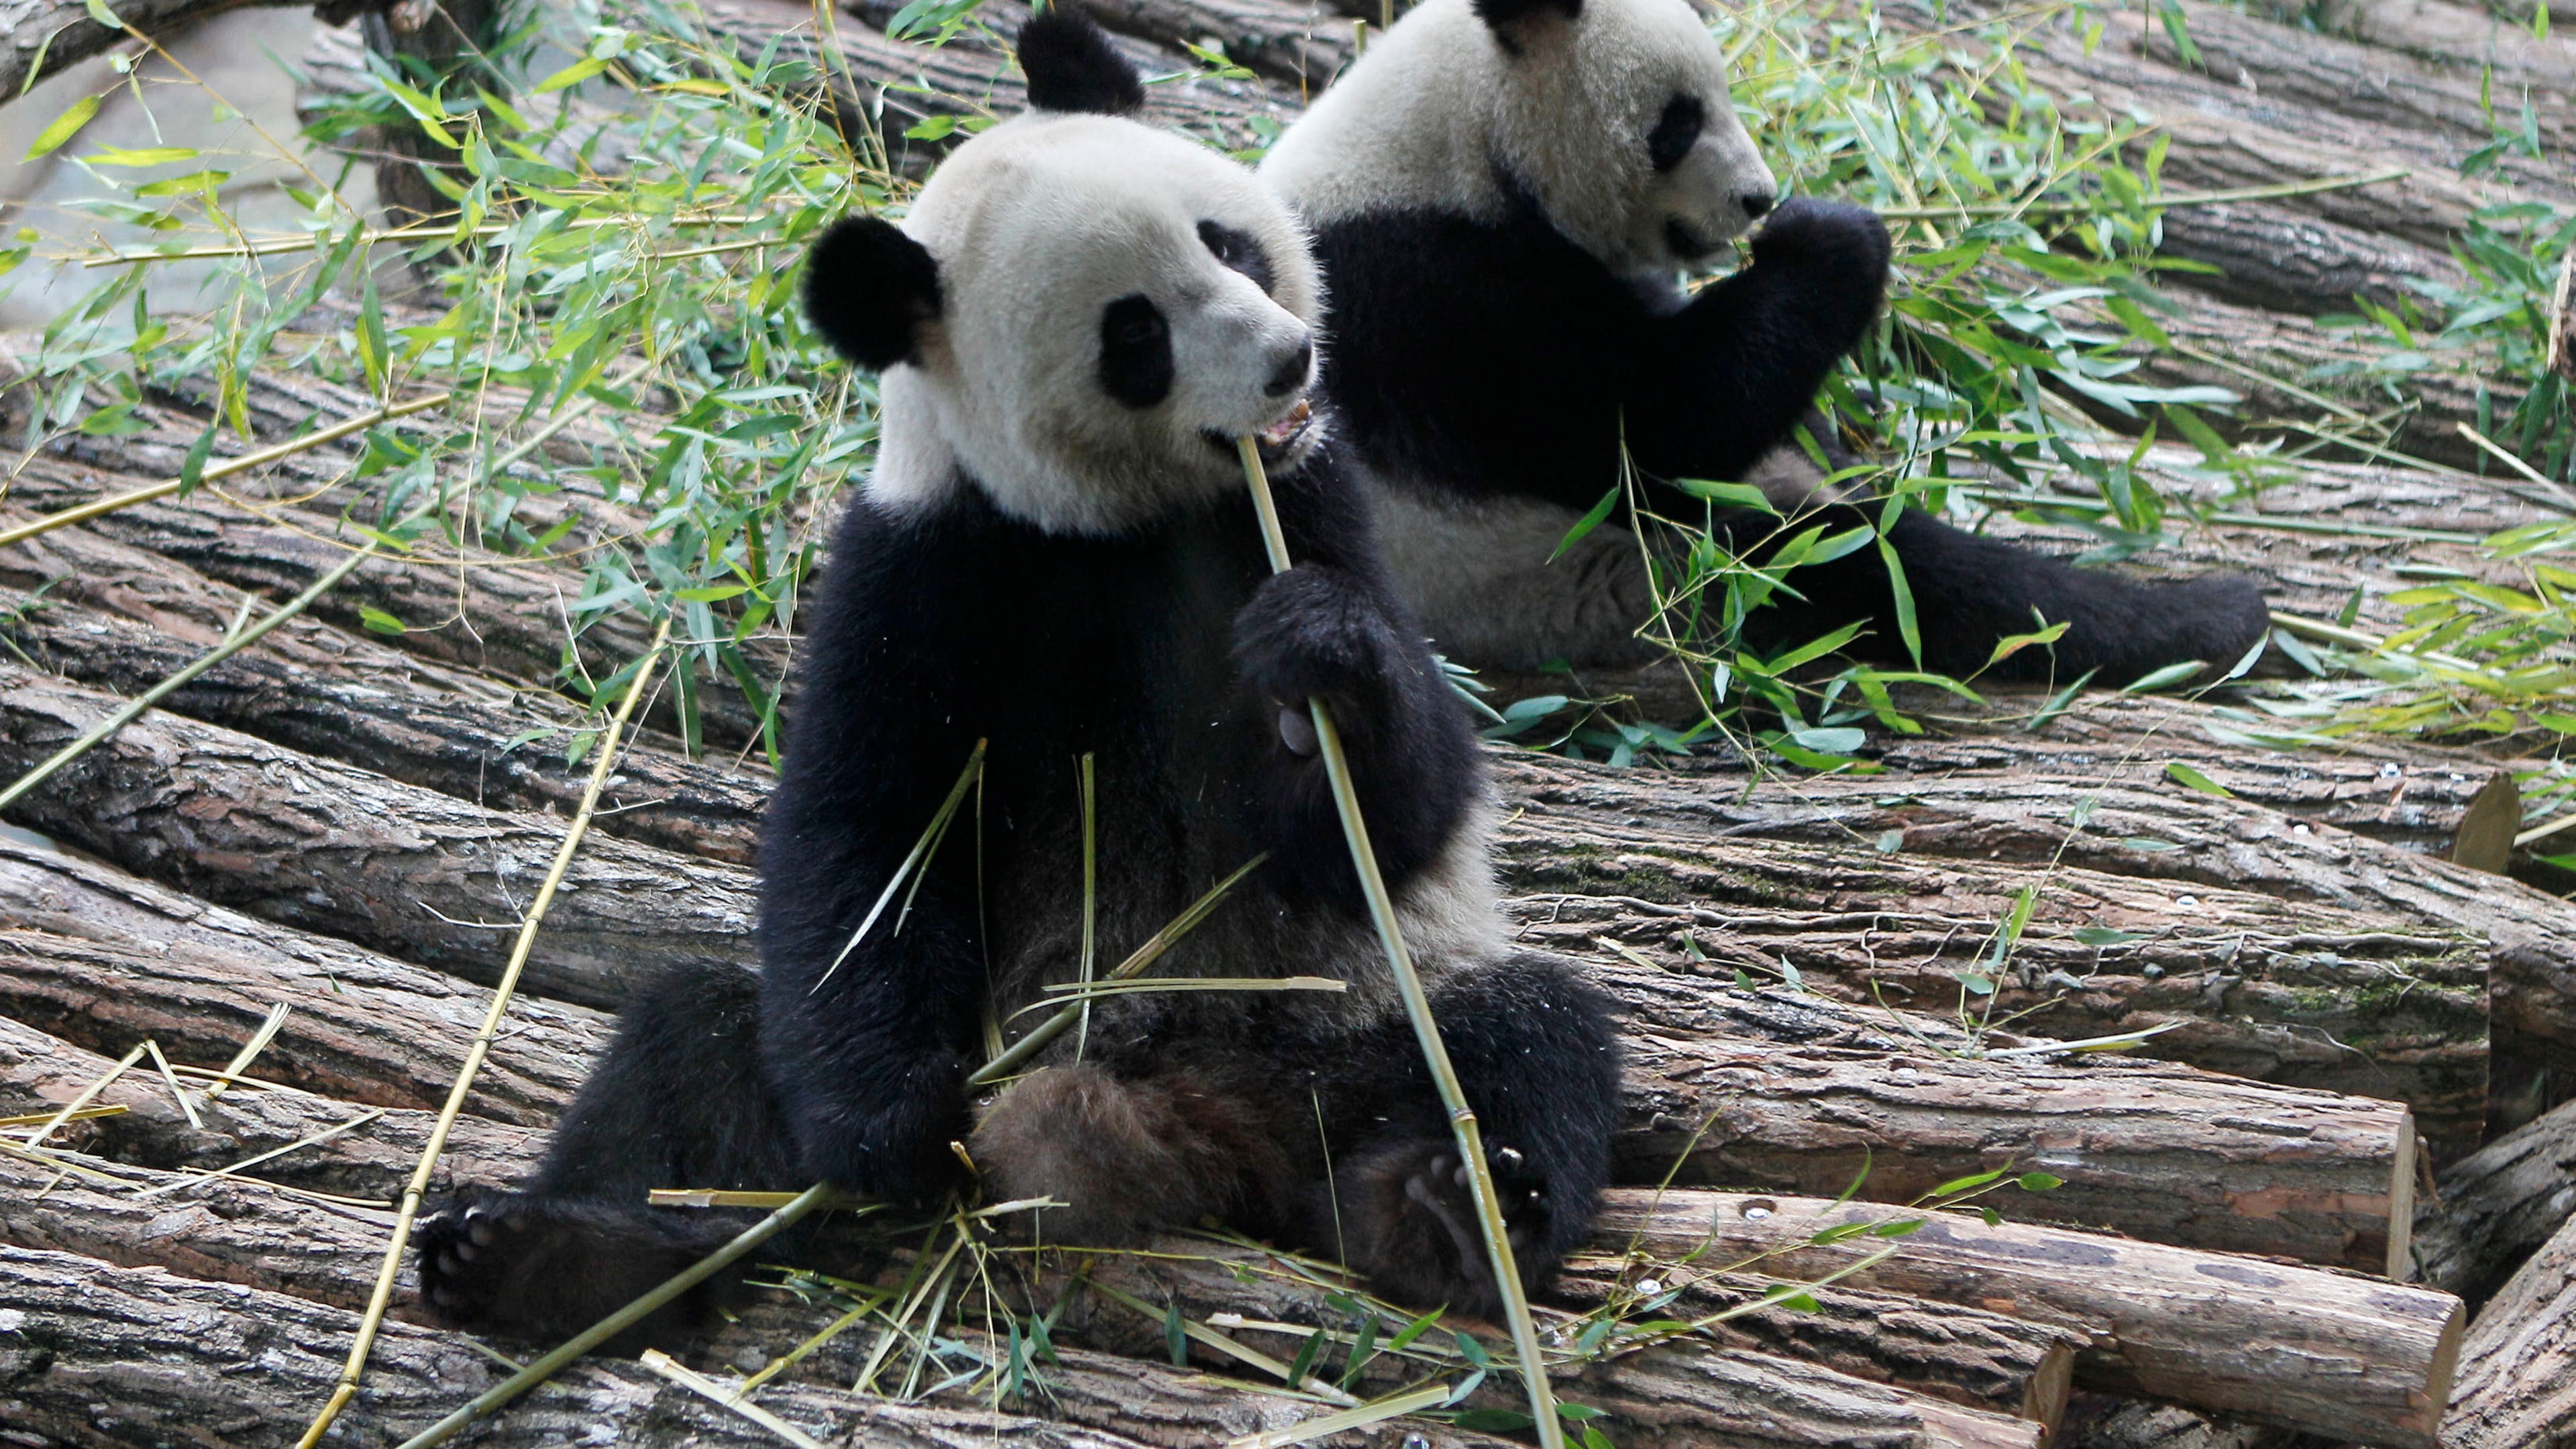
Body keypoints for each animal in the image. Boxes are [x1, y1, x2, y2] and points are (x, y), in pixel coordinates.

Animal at [412, 11, 1622, 1342]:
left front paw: (1324, 661)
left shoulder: (1311, 502)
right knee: (689, 1043)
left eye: (1228, 242)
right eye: (1136, 335)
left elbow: (1399, 814)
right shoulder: (926, 565)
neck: (1117, 525)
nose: (1289, 359)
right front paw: (893, 1132)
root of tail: (1199, 1128)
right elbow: (866, 836)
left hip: (1353, 1022)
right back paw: (549, 1256)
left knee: (1525, 1040)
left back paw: (1448, 1213)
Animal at [1259, 0, 2271, 679]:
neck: (1457, 132)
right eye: (1678, 122)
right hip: (1605, 579)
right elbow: (1648, 428)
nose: (1757, 199)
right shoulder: (1441, 296)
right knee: (1868, 570)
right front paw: (1834, 236)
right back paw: (2206, 620)